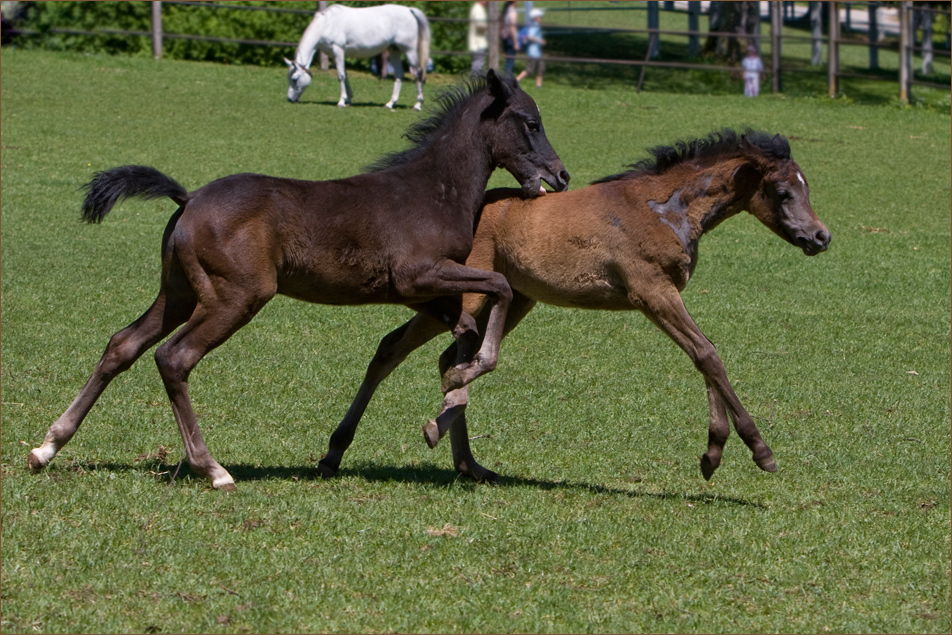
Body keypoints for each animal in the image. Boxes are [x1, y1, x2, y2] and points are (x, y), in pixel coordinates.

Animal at [284, 2, 430, 110]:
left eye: (295, 79)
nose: (290, 99)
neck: (327, 24)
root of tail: (410, 11)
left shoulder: (338, 50)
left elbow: (341, 76)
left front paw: (341, 102)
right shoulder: (339, 54)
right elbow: (345, 75)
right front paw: (349, 99)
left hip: (409, 50)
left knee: (418, 73)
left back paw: (417, 105)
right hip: (395, 50)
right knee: (399, 74)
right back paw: (390, 103)